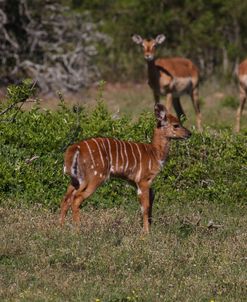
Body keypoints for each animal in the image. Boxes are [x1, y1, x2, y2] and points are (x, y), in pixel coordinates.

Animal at [59, 104, 191, 234]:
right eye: (176, 125)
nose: (189, 133)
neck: (155, 153)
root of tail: (76, 147)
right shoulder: (144, 180)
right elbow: (145, 207)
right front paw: (146, 233)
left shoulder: (135, 182)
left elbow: (147, 203)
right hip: (95, 177)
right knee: (77, 199)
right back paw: (78, 230)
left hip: (77, 179)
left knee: (66, 199)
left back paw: (60, 228)